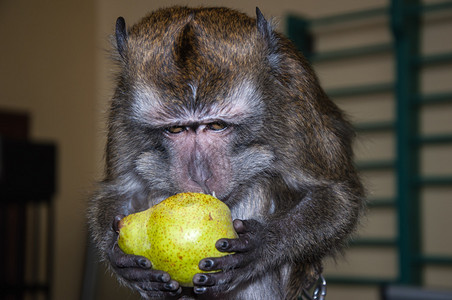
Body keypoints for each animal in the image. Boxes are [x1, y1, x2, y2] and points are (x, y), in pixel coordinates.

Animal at [87, 5, 364, 300]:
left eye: (217, 125)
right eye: (175, 129)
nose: (199, 174)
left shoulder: (293, 100)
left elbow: (335, 197)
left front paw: (260, 245)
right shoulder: (122, 106)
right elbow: (121, 191)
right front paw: (120, 256)